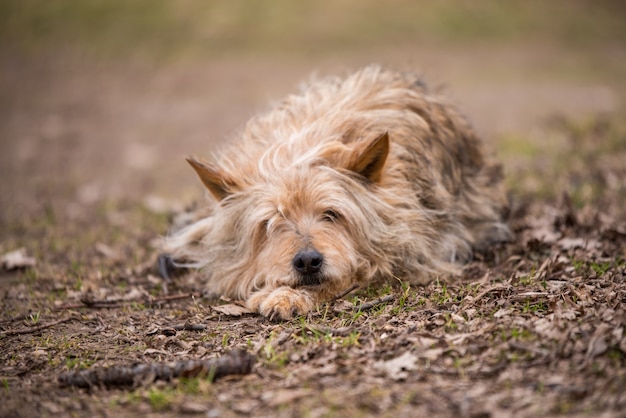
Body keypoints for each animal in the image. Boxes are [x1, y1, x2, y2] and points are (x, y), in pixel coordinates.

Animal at [160, 66, 508, 320]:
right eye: (270, 224)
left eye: (332, 214)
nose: (308, 262)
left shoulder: (413, 251)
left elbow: (352, 274)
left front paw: (286, 295)